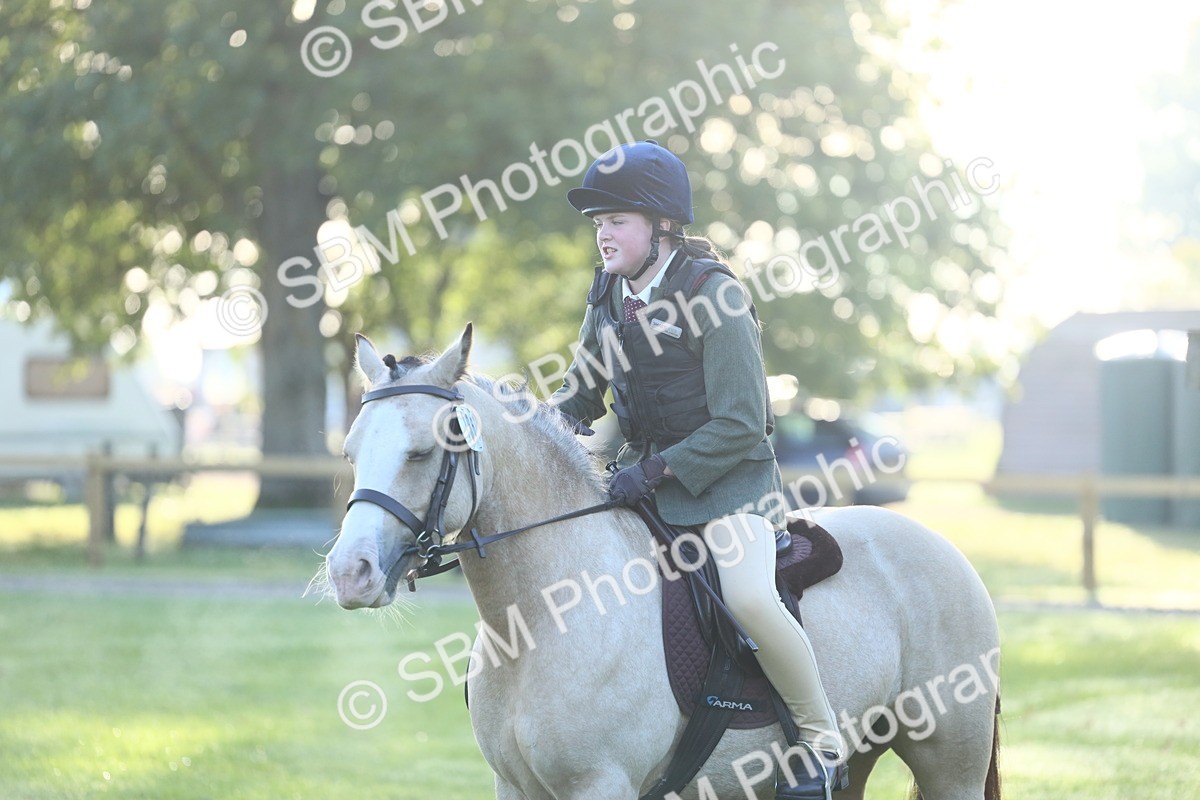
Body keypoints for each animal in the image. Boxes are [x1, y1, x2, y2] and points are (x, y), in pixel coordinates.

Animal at [323, 326, 1002, 800]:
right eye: (352, 451)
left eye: (421, 451)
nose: (349, 573)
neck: (541, 617)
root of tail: (944, 549)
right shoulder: (514, 787)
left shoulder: (601, 784)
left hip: (951, 765)